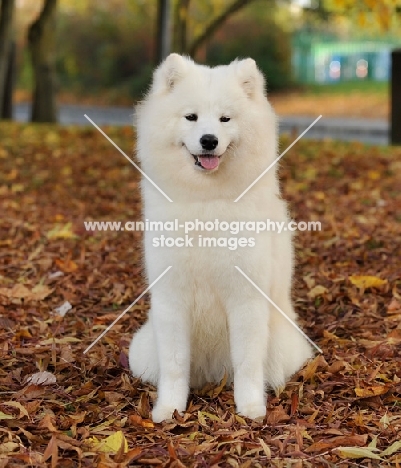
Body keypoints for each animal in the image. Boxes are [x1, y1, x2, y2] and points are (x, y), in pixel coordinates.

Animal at [128, 53, 312, 422]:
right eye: (191, 117)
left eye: (225, 118)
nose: (209, 140)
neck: (206, 202)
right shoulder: (172, 299)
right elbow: (174, 364)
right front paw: (169, 409)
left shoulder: (246, 299)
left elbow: (247, 362)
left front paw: (251, 407)